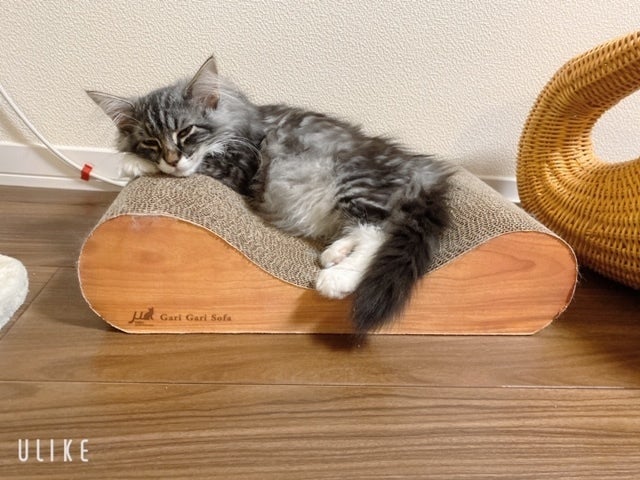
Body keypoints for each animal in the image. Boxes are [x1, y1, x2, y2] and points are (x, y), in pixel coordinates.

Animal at [88, 55, 453, 337]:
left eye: (186, 132)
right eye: (150, 141)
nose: (171, 158)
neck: (238, 120)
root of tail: (421, 169)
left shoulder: (240, 164)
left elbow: (201, 164)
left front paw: (129, 163)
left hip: (354, 181)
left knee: (377, 232)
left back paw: (338, 276)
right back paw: (333, 253)